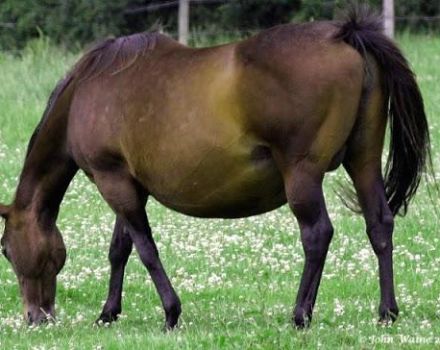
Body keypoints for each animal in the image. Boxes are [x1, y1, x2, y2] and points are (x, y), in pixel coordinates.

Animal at [0, 8, 430, 330]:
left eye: (5, 249)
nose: (35, 317)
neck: (85, 94)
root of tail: (343, 34)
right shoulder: (129, 183)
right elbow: (120, 248)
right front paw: (109, 312)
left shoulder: (113, 180)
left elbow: (146, 249)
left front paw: (171, 313)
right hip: (363, 160)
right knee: (379, 225)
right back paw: (387, 312)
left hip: (303, 175)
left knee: (317, 234)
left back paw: (300, 314)